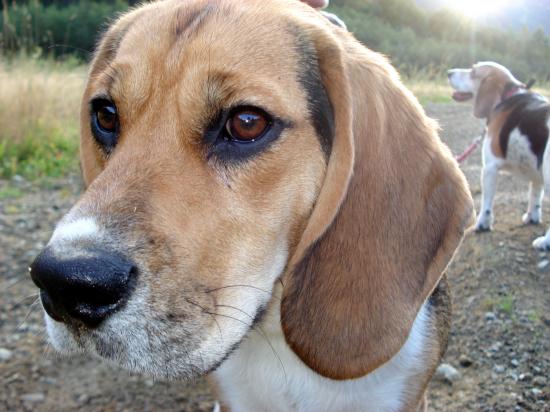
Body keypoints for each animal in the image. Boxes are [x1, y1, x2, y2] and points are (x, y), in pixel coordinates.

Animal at [448, 62, 550, 240]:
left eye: (473, 72)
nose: (448, 72)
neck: (507, 95)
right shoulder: (536, 169)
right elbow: (535, 194)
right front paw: (532, 217)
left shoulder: (490, 167)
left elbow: (487, 202)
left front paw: (482, 225)